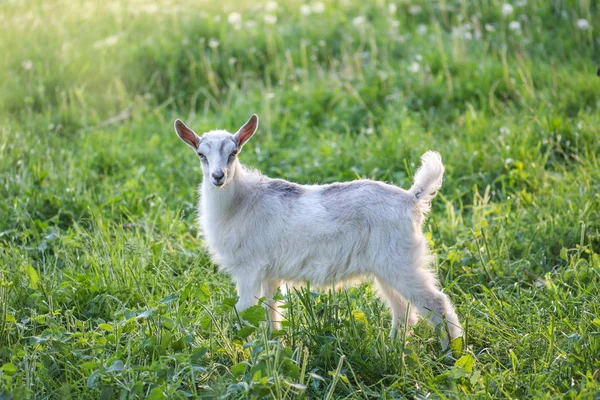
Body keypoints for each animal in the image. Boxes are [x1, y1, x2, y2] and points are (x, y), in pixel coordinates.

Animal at [173, 114, 464, 348]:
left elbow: (245, 313)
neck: (242, 202)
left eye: (234, 152)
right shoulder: (268, 274)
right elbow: (270, 312)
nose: (218, 177)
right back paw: (394, 347)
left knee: (436, 302)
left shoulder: (249, 270)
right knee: (403, 308)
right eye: (201, 154)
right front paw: (273, 348)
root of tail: (411, 198)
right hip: (387, 267)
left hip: (402, 263)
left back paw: (451, 351)